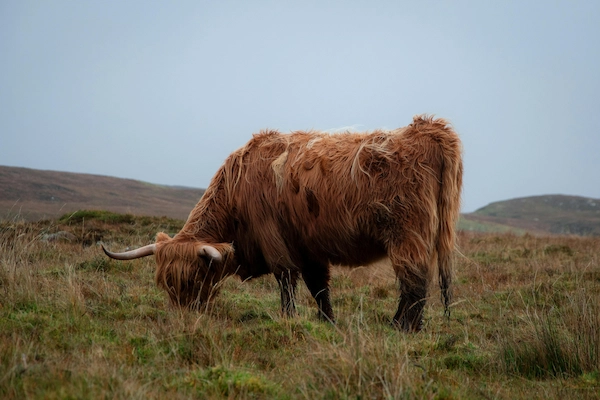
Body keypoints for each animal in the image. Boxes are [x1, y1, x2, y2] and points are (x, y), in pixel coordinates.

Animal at [103, 115, 462, 332]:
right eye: (165, 283)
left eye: (193, 280)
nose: (182, 321)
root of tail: (429, 128)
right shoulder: (309, 247)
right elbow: (320, 288)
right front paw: (327, 322)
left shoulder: (274, 239)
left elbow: (286, 281)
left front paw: (289, 319)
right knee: (414, 284)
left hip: (407, 235)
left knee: (414, 284)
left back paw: (402, 328)